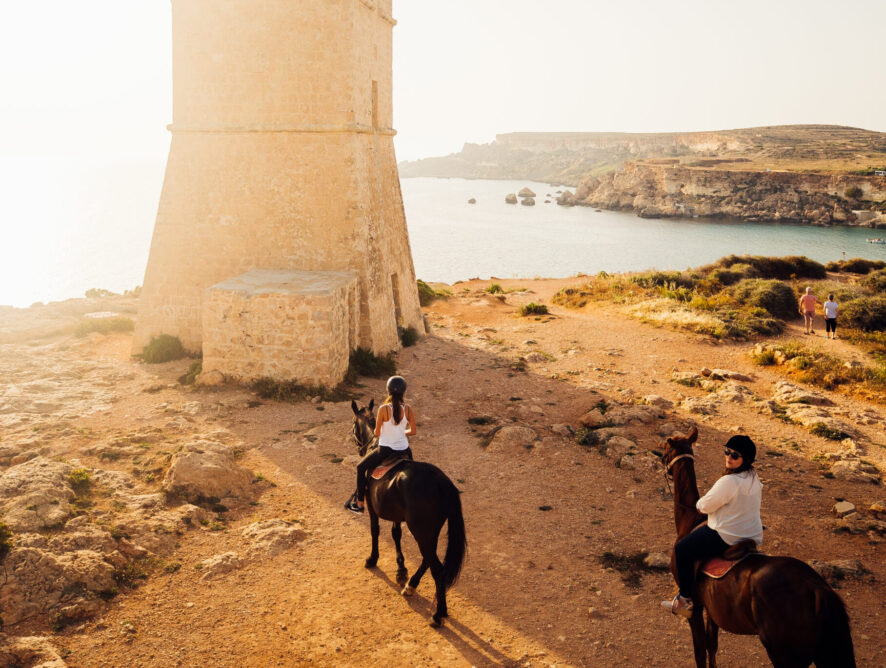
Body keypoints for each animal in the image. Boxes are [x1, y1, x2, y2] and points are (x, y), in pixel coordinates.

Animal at [350, 402, 468, 628]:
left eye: (353, 425)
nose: (357, 445)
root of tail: (443, 483)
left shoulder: (372, 506)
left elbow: (375, 531)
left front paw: (372, 559)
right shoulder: (396, 512)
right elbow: (396, 534)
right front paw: (401, 570)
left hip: (422, 531)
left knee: (437, 568)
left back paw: (439, 614)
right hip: (429, 531)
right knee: (427, 559)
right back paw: (412, 585)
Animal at [664, 428, 856, 668]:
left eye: (665, 446)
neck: (689, 521)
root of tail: (819, 590)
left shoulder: (696, 608)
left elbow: (700, 651)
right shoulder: (711, 609)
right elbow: (712, 647)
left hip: (785, 655)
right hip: (823, 652)